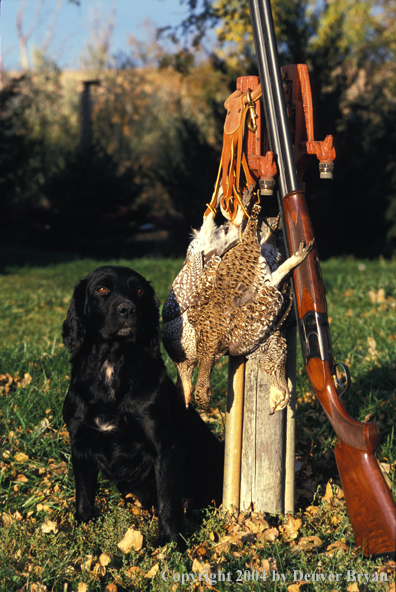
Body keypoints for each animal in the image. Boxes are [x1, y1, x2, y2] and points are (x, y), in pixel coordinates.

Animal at [62, 268, 223, 544]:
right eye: (101, 289)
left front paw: (170, 542)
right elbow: (83, 493)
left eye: (138, 291)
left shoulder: (166, 446)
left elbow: (167, 499)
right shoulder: (80, 443)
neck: (112, 366)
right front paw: (84, 524)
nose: (128, 309)